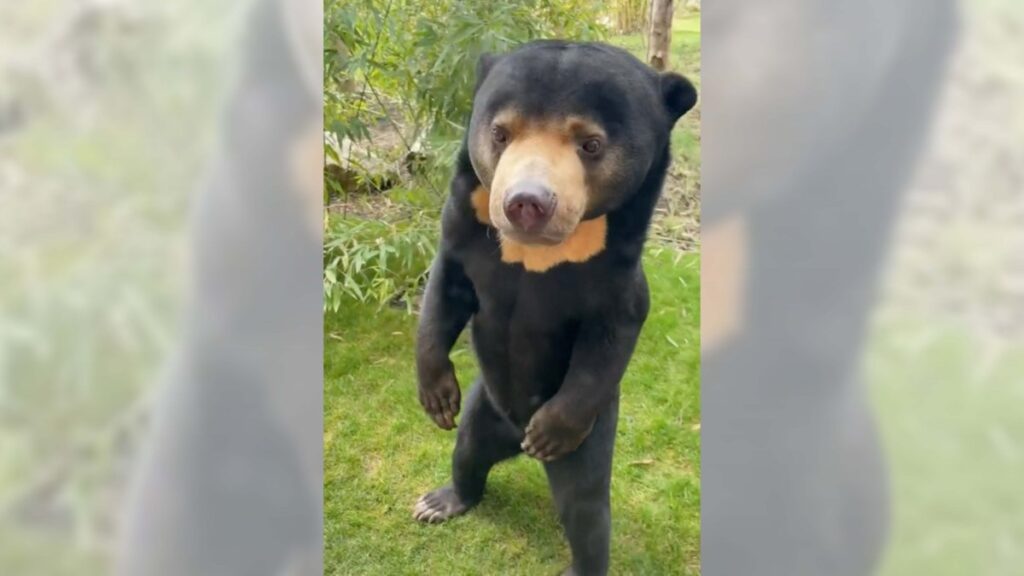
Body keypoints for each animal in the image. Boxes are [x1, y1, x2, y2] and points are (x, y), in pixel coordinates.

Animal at [413, 40, 697, 575]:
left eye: (591, 144)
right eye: (500, 132)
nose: (525, 203)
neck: (538, 252)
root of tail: (513, 439)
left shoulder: (616, 278)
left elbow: (610, 338)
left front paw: (551, 427)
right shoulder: (463, 233)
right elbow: (443, 295)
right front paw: (437, 397)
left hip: (590, 438)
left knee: (586, 512)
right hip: (482, 410)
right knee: (466, 453)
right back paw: (442, 501)